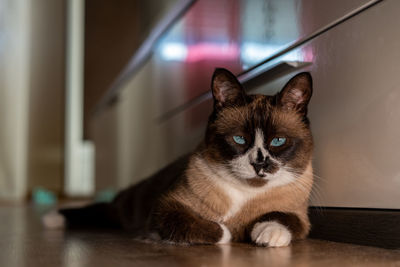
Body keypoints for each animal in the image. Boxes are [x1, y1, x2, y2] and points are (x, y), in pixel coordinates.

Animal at [43, 68, 312, 248]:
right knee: (100, 210)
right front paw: (230, 232)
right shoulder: (166, 207)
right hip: (125, 210)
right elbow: (213, 229)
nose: (259, 165)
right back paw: (52, 218)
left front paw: (267, 235)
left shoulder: (299, 216)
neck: (247, 192)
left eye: (278, 141)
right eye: (239, 139)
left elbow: (283, 218)